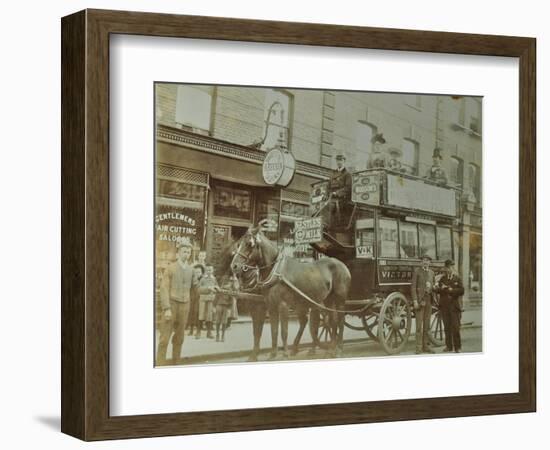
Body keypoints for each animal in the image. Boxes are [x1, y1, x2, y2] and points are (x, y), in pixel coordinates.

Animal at [231, 222, 352, 362]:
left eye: (249, 244)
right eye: (239, 243)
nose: (234, 266)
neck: (276, 270)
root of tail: (343, 265)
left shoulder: (283, 305)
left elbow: (284, 331)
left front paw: (284, 354)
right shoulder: (271, 305)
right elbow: (274, 330)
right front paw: (273, 354)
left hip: (339, 299)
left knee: (339, 321)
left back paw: (338, 349)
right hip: (326, 300)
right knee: (332, 320)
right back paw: (330, 349)